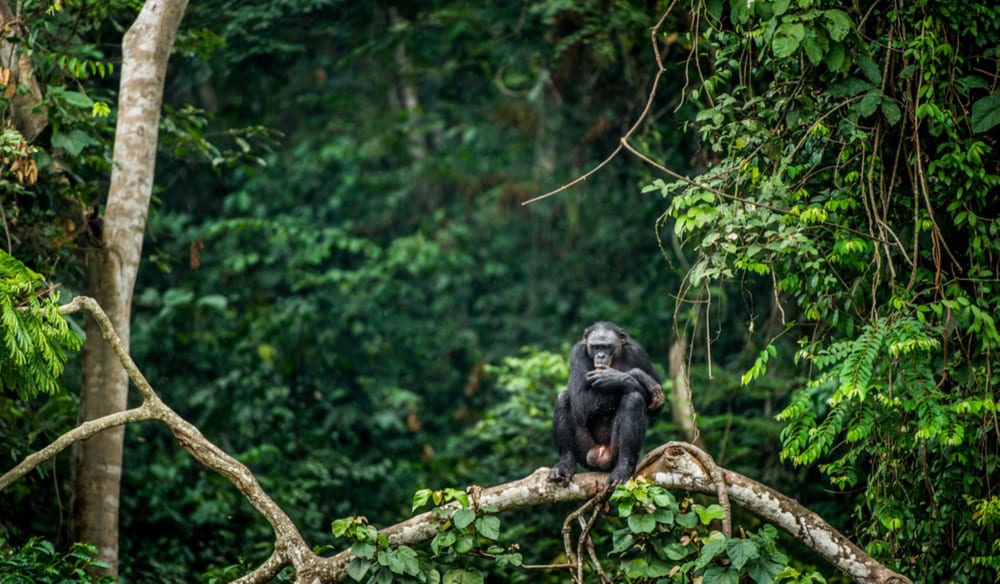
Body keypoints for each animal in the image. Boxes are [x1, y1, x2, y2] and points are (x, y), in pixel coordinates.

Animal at [548, 322, 664, 486]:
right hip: (585, 452)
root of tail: (600, 454)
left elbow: (657, 405)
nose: (600, 355)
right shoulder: (577, 353)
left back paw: (623, 468)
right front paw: (633, 376)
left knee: (634, 398)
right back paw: (565, 465)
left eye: (607, 347)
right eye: (595, 347)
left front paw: (619, 377)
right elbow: (579, 399)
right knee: (563, 398)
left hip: (613, 453)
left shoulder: (639, 352)